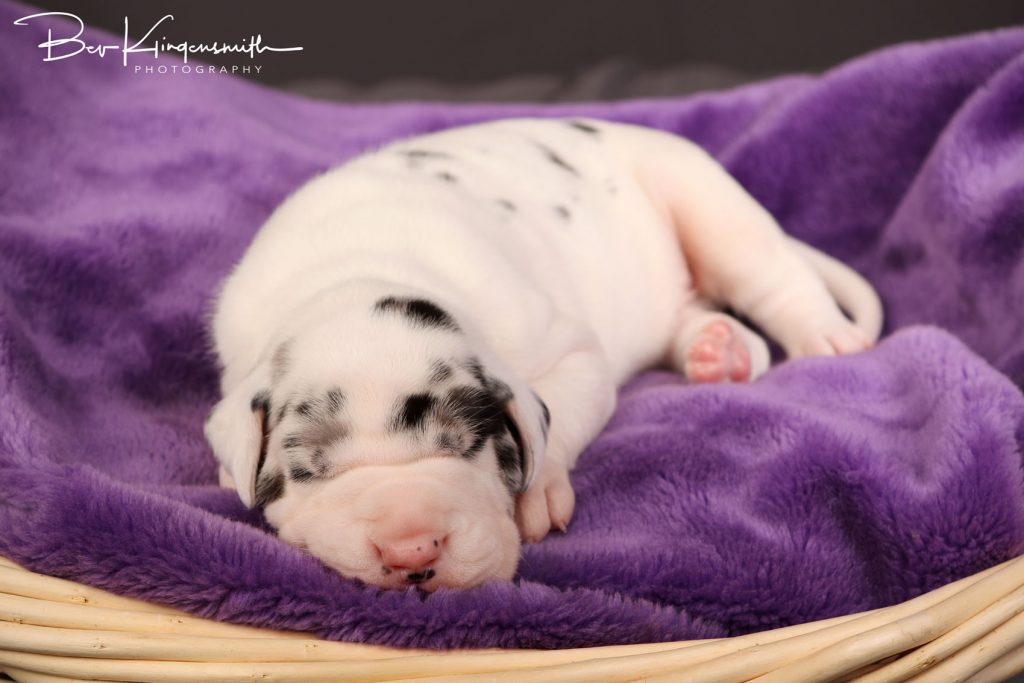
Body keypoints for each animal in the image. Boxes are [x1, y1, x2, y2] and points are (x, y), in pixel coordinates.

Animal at [203, 117, 884, 593]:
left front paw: (539, 491)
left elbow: (560, 412)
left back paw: (823, 338)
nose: (411, 550)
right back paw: (718, 352)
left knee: (774, 279)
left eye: (470, 445)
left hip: (708, 204)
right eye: (307, 468)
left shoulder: (570, 351)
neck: (359, 268)